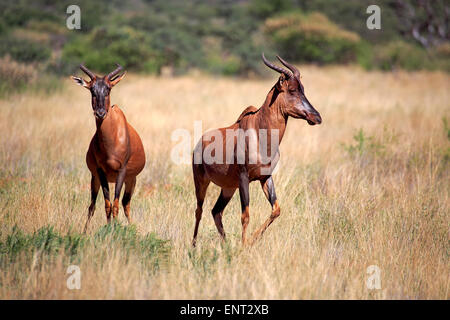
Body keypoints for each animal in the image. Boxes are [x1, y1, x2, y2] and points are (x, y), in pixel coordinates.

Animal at [71, 63, 146, 232]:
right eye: (92, 90)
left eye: (109, 89)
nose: (100, 113)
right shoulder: (100, 171)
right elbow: (107, 205)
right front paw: (110, 228)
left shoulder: (122, 171)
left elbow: (116, 204)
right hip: (94, 178)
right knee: (92, 206)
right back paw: (85, 231)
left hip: (131, 179)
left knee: (126, 204)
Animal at [192, 53, 322, 246]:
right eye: (292, 90)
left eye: (303, 89)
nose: (316, 117)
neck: (259, 132)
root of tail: (199, 143)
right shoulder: (244, 178)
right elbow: (245, 215)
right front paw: (244, 244)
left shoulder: (265, 177)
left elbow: (276, 209)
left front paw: (251, 240)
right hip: (201, 181)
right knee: (199, 210)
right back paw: (193, 246)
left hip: (228, 188)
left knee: (216, 211)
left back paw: (226, 244)